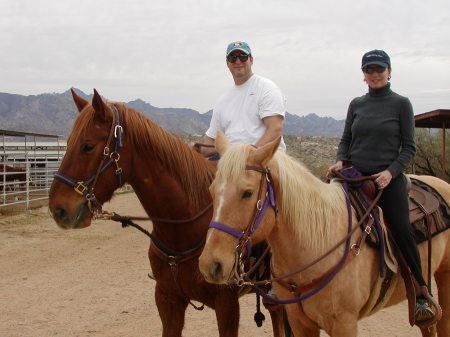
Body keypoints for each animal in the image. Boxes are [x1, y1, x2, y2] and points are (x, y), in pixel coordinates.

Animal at [200, 132, 450, 336]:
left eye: (248, 193)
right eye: (211, 191)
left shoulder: (344, 324)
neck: (317, 243)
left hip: (444, 277)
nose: (210, 264)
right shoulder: (300, 323)